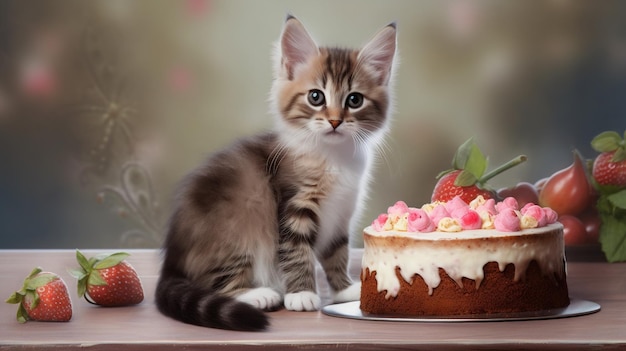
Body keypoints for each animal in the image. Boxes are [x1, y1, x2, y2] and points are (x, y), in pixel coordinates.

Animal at [155, 14, 394, 332]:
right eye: (316, 97)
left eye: (354, 100)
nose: (334, 122)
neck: (333, 157)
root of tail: (172, 257)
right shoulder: (294, 204)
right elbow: (297, 251)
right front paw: (302, 294)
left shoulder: (341, 213)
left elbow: (337, 253)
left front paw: (344, 289)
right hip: (237, 225)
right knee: (217, 281)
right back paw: (258, 295)